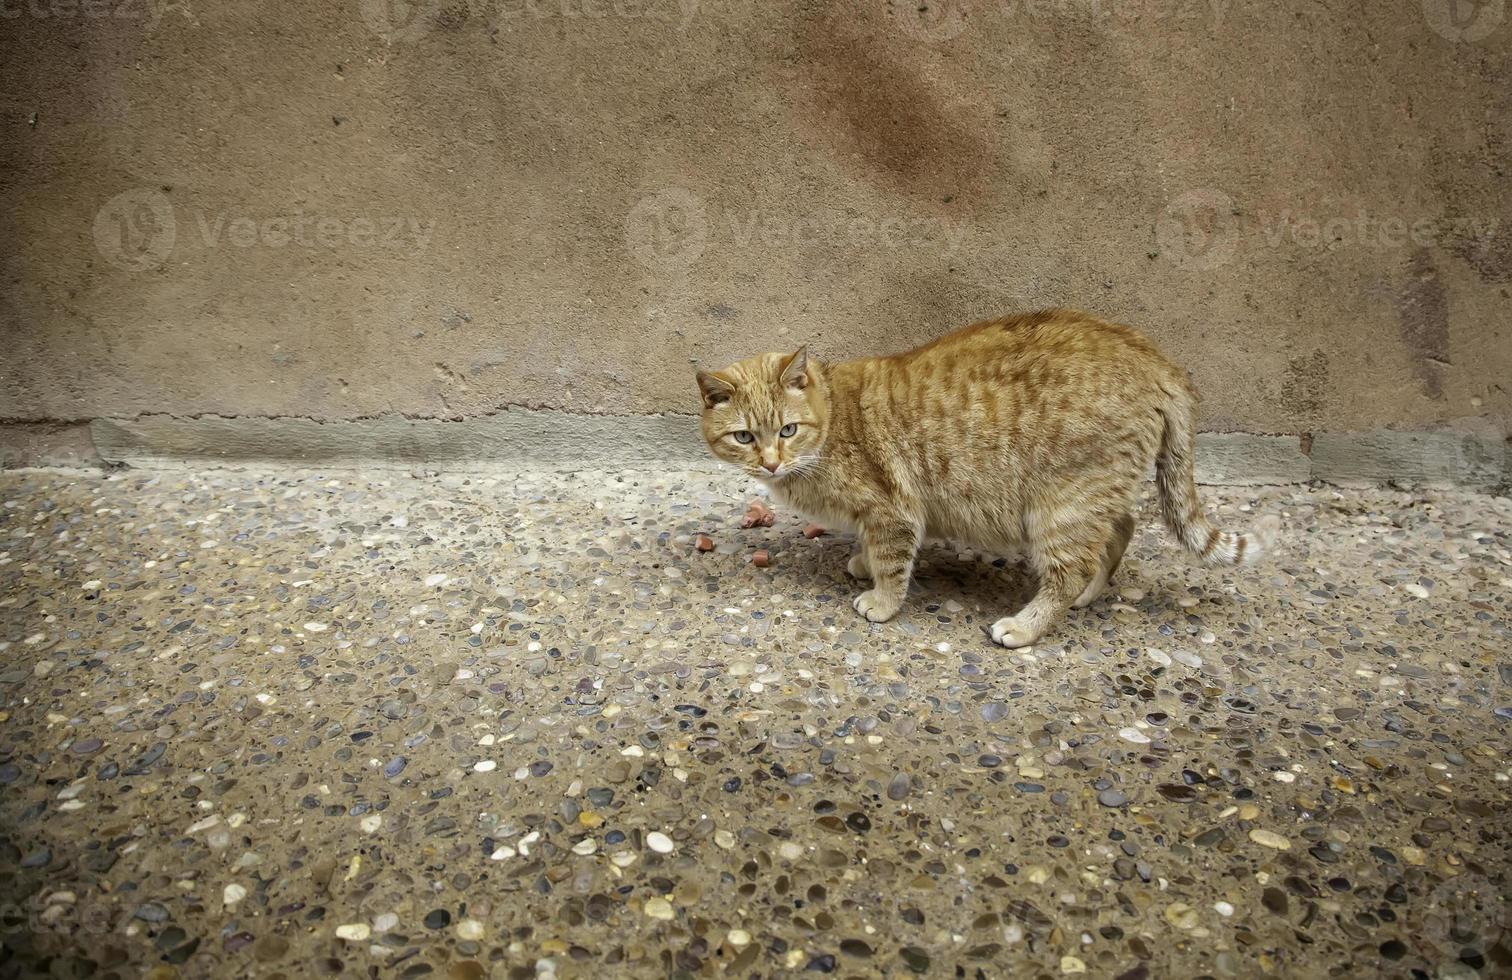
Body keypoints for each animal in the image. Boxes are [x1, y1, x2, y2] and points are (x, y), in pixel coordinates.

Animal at [695, 310, 1276, 647]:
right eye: (745, 437)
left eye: (787, 430)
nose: (770, 463)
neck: (835, 418)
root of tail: (1158, 359)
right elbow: (870, 548)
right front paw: (861, 563)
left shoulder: (893, 512)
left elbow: (892, 563)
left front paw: (881, 601)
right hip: (1092, 498)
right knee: (1121, 531)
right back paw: (1092, 593)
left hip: (1061, 508)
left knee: (1070, 569)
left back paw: (1026, 624)